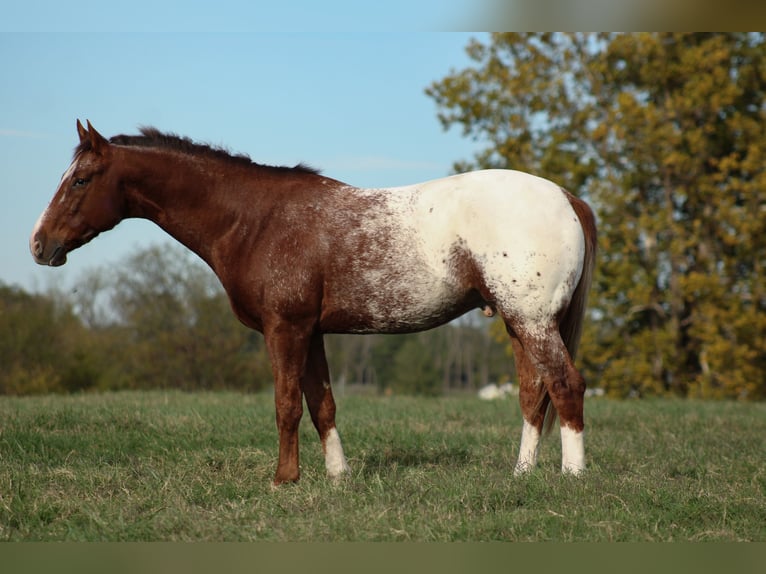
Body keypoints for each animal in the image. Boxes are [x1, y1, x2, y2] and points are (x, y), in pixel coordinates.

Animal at [30, 120, 597, 485]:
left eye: (80, 179)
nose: (39, 245)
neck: (256, 220)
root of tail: (566, 197)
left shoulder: (285, 328)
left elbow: (286, 404)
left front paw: (284, 479)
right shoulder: (313, 332)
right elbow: (322, 403)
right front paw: (337, 477)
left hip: (532, 320)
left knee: (566, 385)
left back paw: (573, 476)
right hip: (520, 322)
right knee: (534, 392)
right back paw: (521, 475)